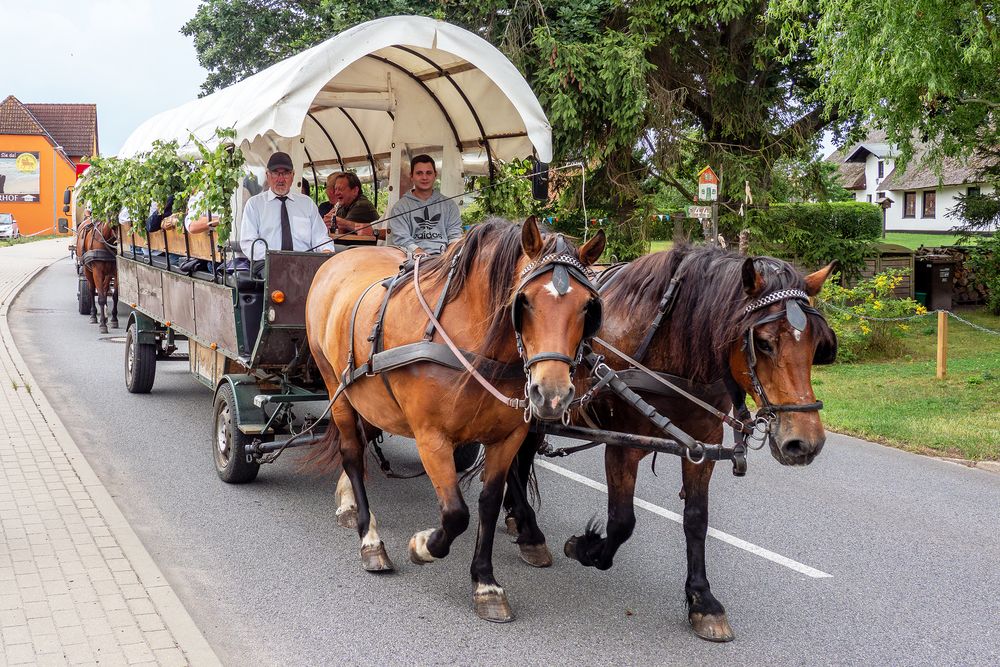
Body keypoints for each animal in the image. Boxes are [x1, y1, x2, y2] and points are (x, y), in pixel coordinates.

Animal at [302, 218, 600, 620]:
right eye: (524, 302)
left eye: (587, 307)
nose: (551, 393)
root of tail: (340, 257)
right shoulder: (432, 438)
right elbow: (456, 513)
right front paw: (423, 545)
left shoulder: (507, 438)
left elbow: (488, 503)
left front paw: (486, 582)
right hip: (337, 386)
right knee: (350, 451)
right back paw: (370, 539)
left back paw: (348, 501)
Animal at [500, 244, 836, 640]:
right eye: (764, 343)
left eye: (817, 345)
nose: (804, 442)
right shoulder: (623, 445)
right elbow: (622, 521)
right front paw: (586, 548)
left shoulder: (702, 446)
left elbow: (696, 520)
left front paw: (702, 600)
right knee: (512, 463)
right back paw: (529, 532)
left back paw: (517, 519)